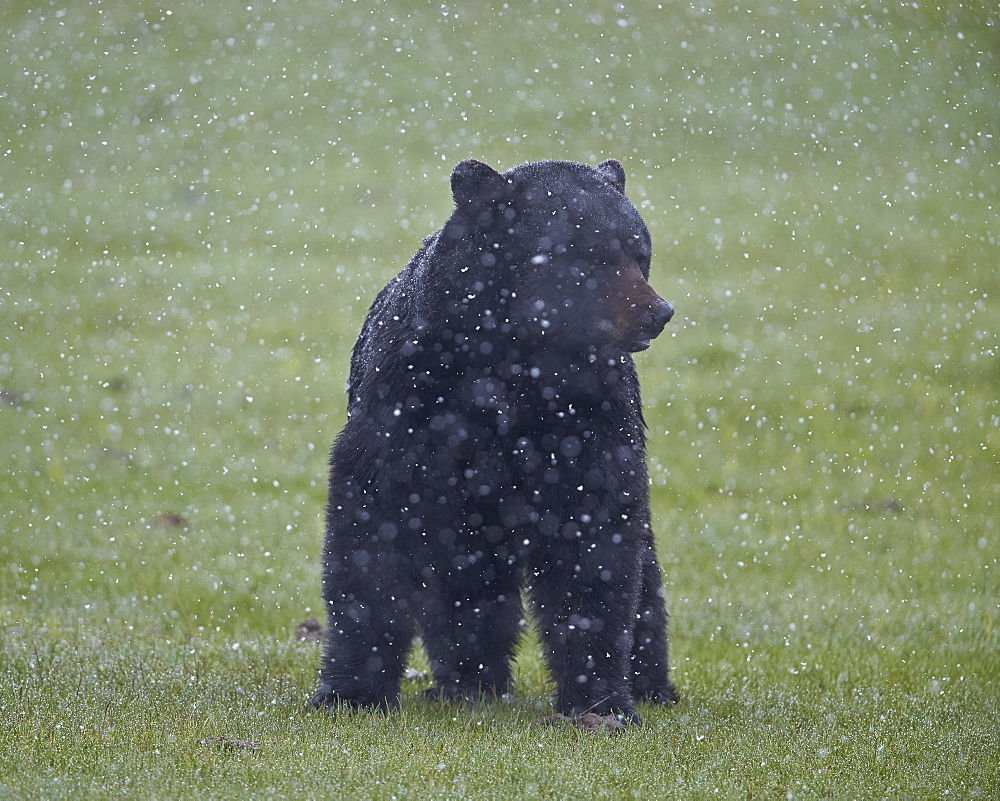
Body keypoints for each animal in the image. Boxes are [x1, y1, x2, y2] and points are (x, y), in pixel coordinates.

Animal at [318, 158, 680, 724]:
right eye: (591, 258)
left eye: (640, 253)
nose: (657, 312)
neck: (512, 361)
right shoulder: (407, 405)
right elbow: (371, 532)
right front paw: (351, 691)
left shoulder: (592, 421)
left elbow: (596, 547)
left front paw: (600, 702)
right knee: (467, 584)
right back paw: (468, 681)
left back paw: (650, 684)